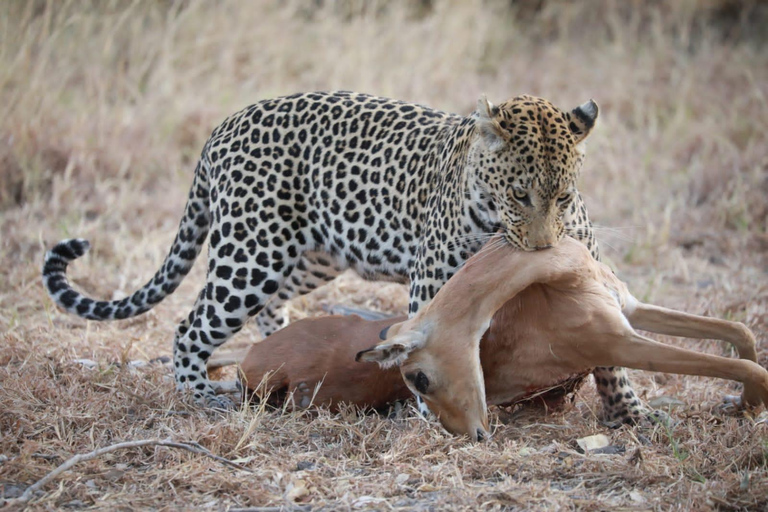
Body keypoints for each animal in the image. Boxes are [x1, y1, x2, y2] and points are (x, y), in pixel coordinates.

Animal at [42, 91, 648, 424]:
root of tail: (223, 128)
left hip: (310, 254)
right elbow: (428, 347)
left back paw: (278, 355)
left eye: (563, 197)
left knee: (271, 308)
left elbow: (612, 352)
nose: (544, 250)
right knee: (191, 324)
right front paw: (432, 414)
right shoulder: (433, 279)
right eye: (520, 195)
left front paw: (629, 414)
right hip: (252, 253)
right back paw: (199, 395)